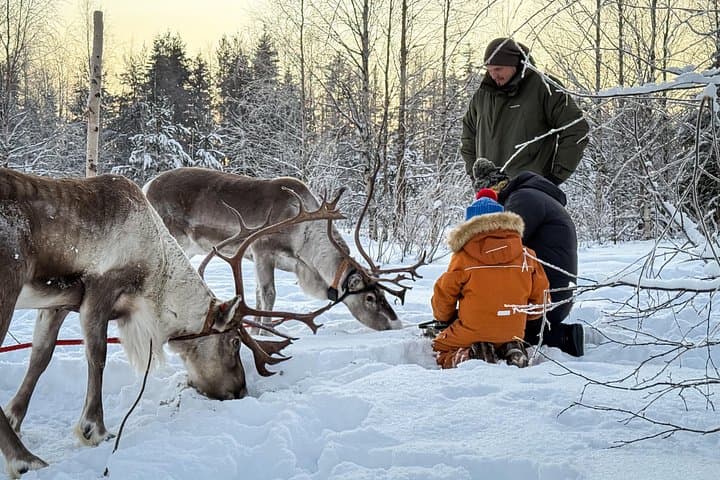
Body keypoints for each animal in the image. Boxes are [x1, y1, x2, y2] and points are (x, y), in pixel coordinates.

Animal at [0, 168, 340, 478]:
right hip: (8, 287)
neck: (156, 271)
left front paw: (15, 415)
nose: (240, 391)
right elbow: (97, 357)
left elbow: (40, 356)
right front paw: (94, 429)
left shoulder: (58, 304)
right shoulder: (99, 291)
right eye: (233, 342)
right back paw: (25, 460)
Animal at [143, 167, 424, 333]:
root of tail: (147, 186)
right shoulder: (262, 252)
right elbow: (268, 295)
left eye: (382, 293)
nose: (397, 324)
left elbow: (256, 296)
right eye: (370, 298)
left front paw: (255, 330)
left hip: (187, 248)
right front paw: (265, 332)